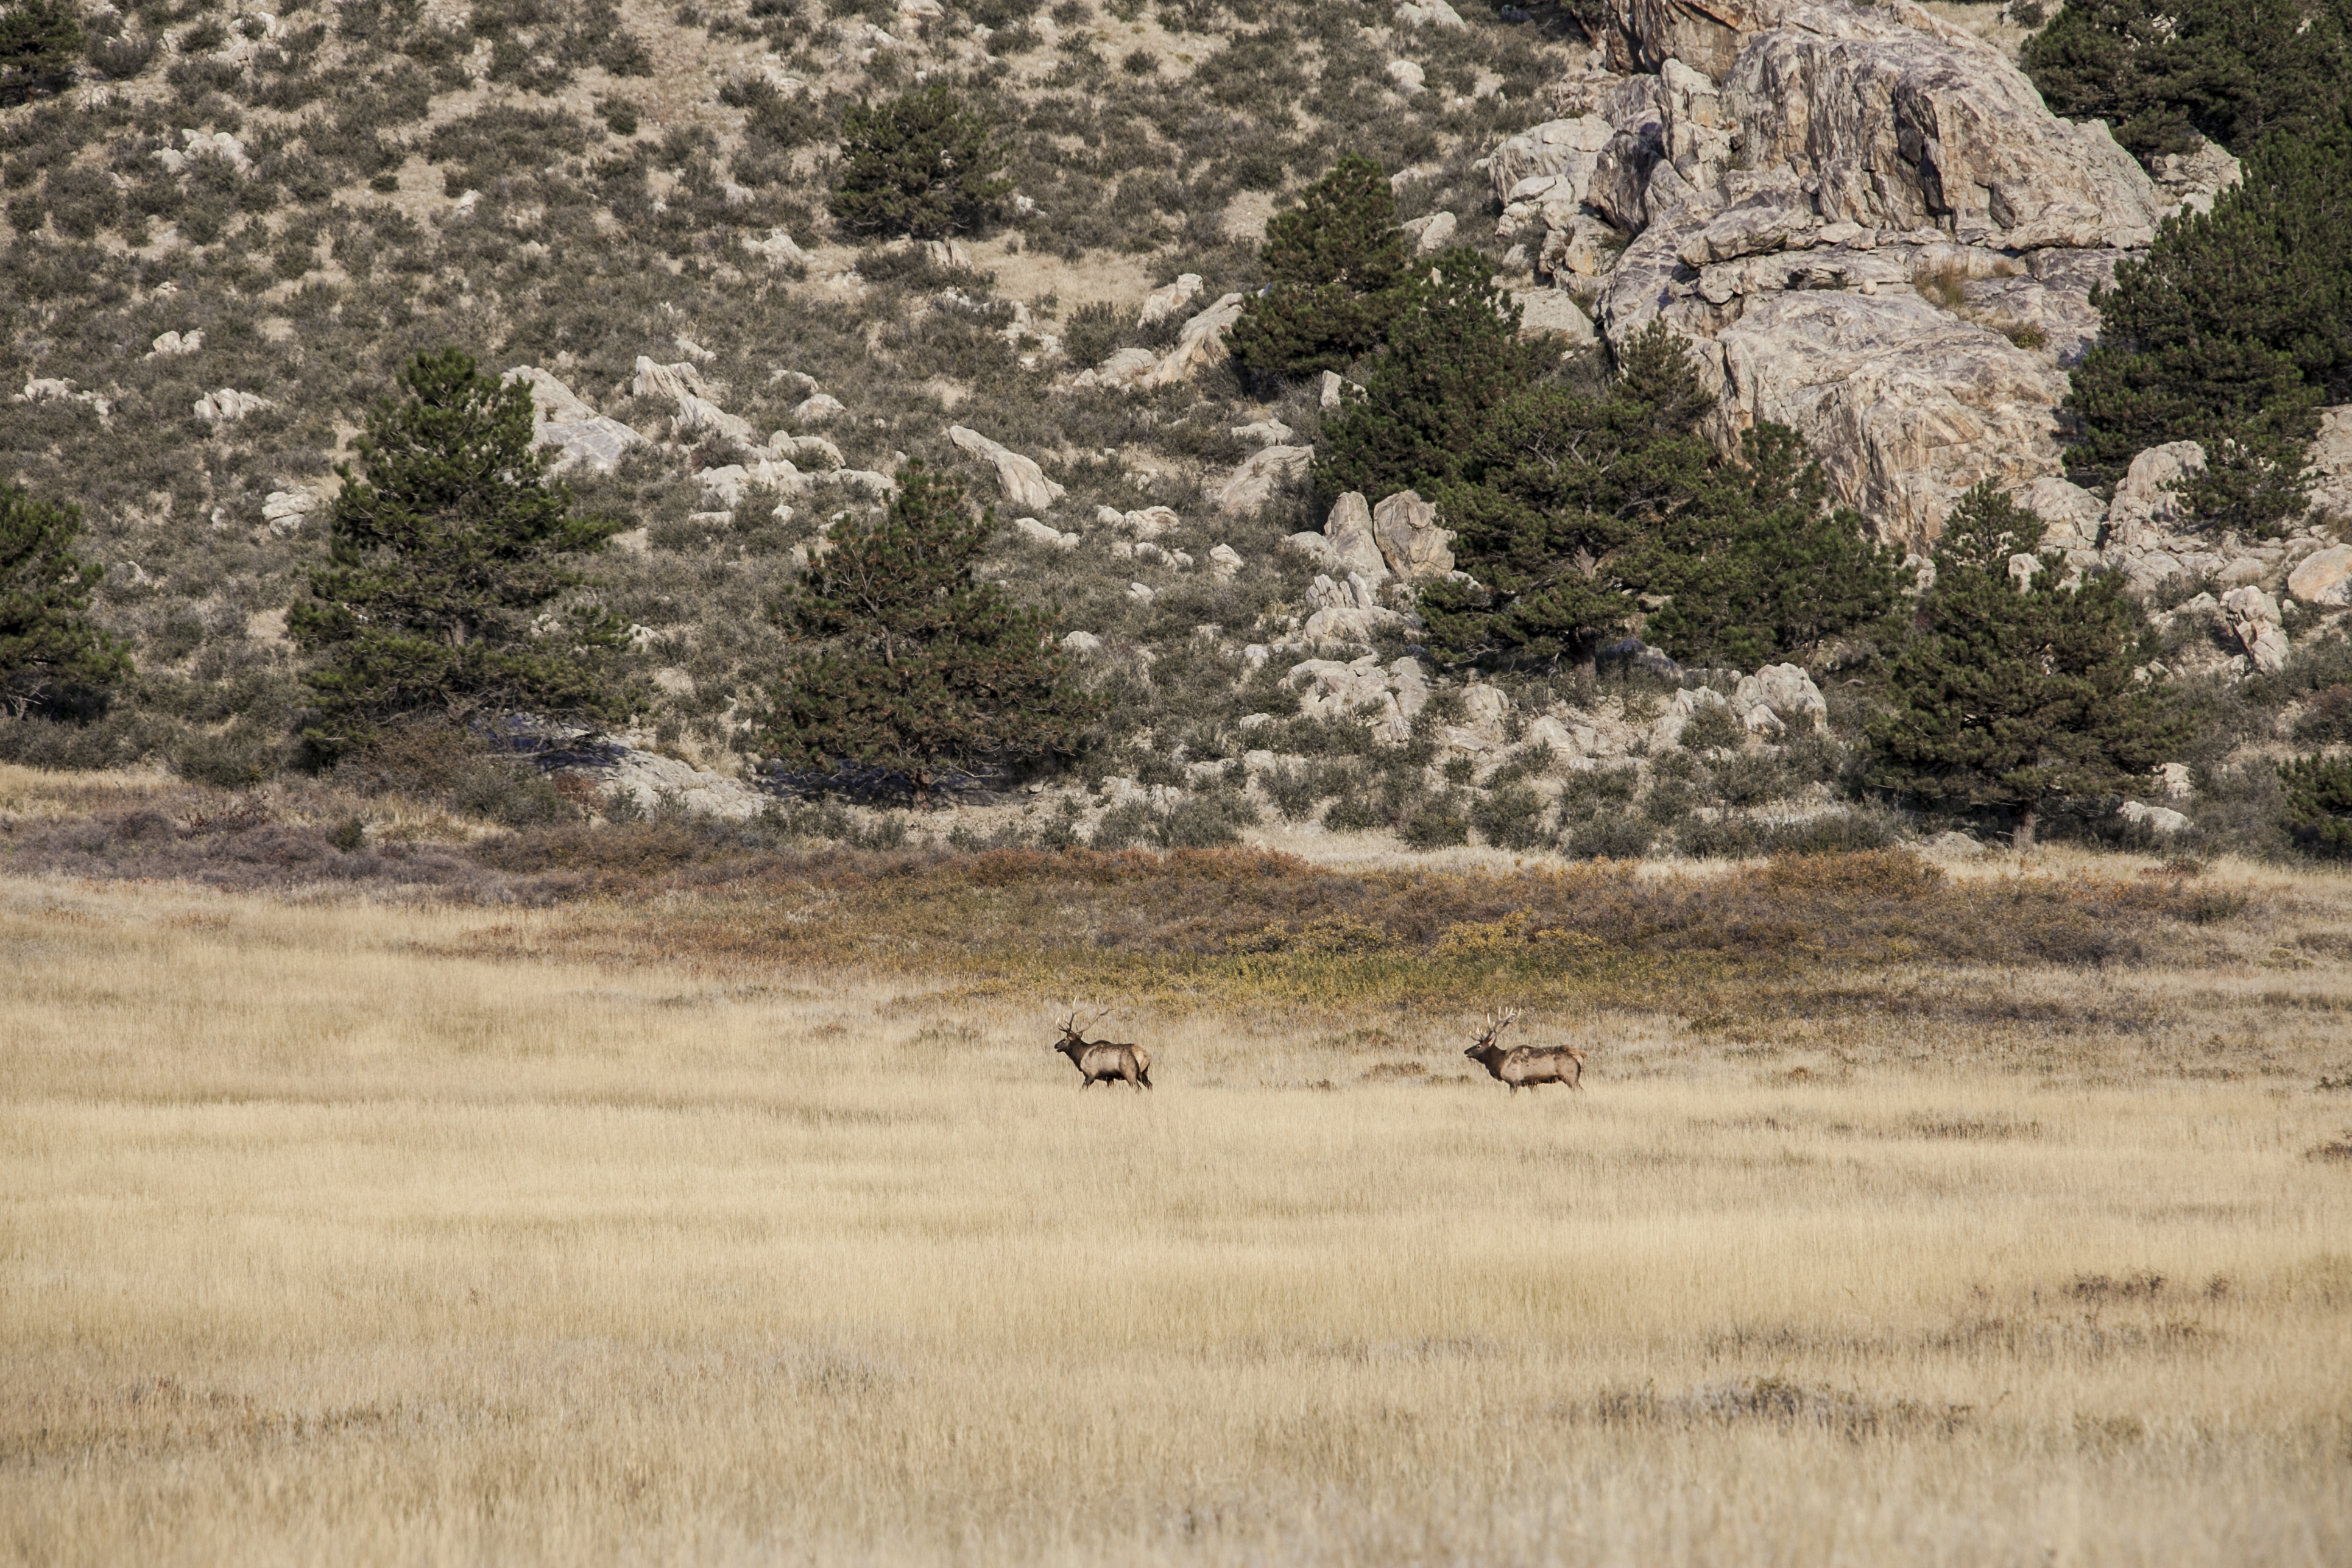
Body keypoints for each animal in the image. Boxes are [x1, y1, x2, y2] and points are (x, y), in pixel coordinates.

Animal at [1053, 1006, 1152, 1090]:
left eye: (1064, 1039)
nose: (1056, 1045)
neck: (1080, 1056)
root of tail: (1144, 1054)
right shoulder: (1110, 1077)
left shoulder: (1091, 1074)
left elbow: (1082, 1089)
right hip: (1143, 1073)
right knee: (1150, 1085)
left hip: (1130, 1073)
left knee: (1138, 1089)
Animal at [1458, 1011, 1590, 1100]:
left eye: (1478, 1046)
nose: (1466, 1052)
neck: (1500, 1063)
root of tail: (1580, 1056)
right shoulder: (1532, 1083)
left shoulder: (1514, 1081)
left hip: (1570, 1076)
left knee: (1581, 1092)